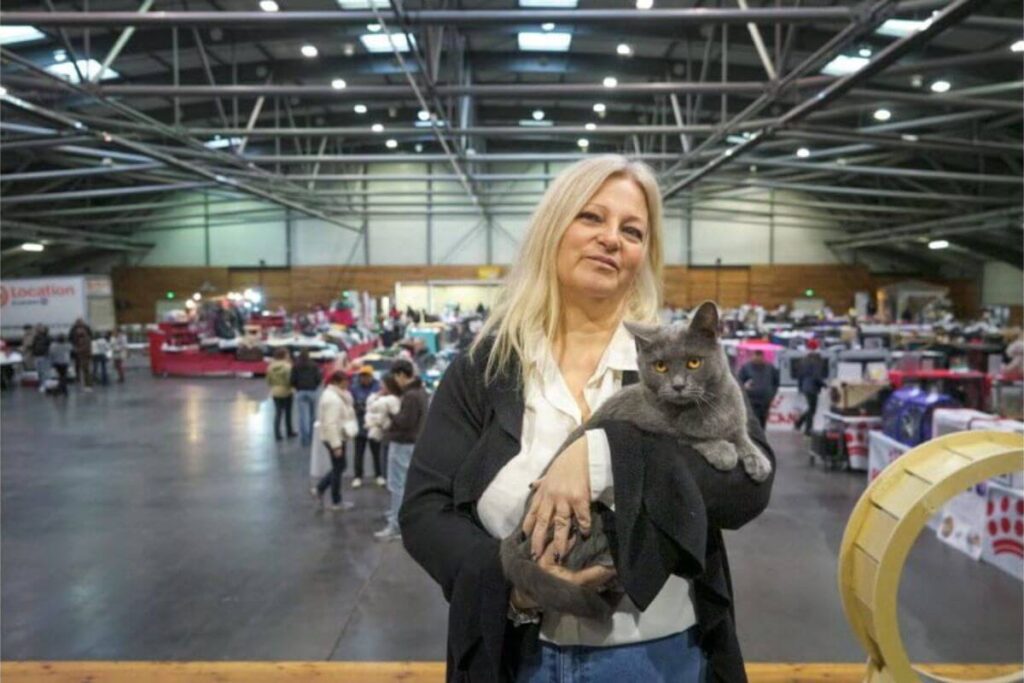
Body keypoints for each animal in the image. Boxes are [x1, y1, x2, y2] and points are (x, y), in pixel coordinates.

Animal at [499, 301, 770, 622]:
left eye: (694, 362)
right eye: (660, 366)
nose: (678, 386)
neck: (706, 408)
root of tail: (517, 533)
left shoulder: (735, 415)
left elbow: (742, 435)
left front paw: (758, 460)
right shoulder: (649, 423)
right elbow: (687, 435)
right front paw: (722, 451)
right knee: (576, 558)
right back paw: (609, 565)